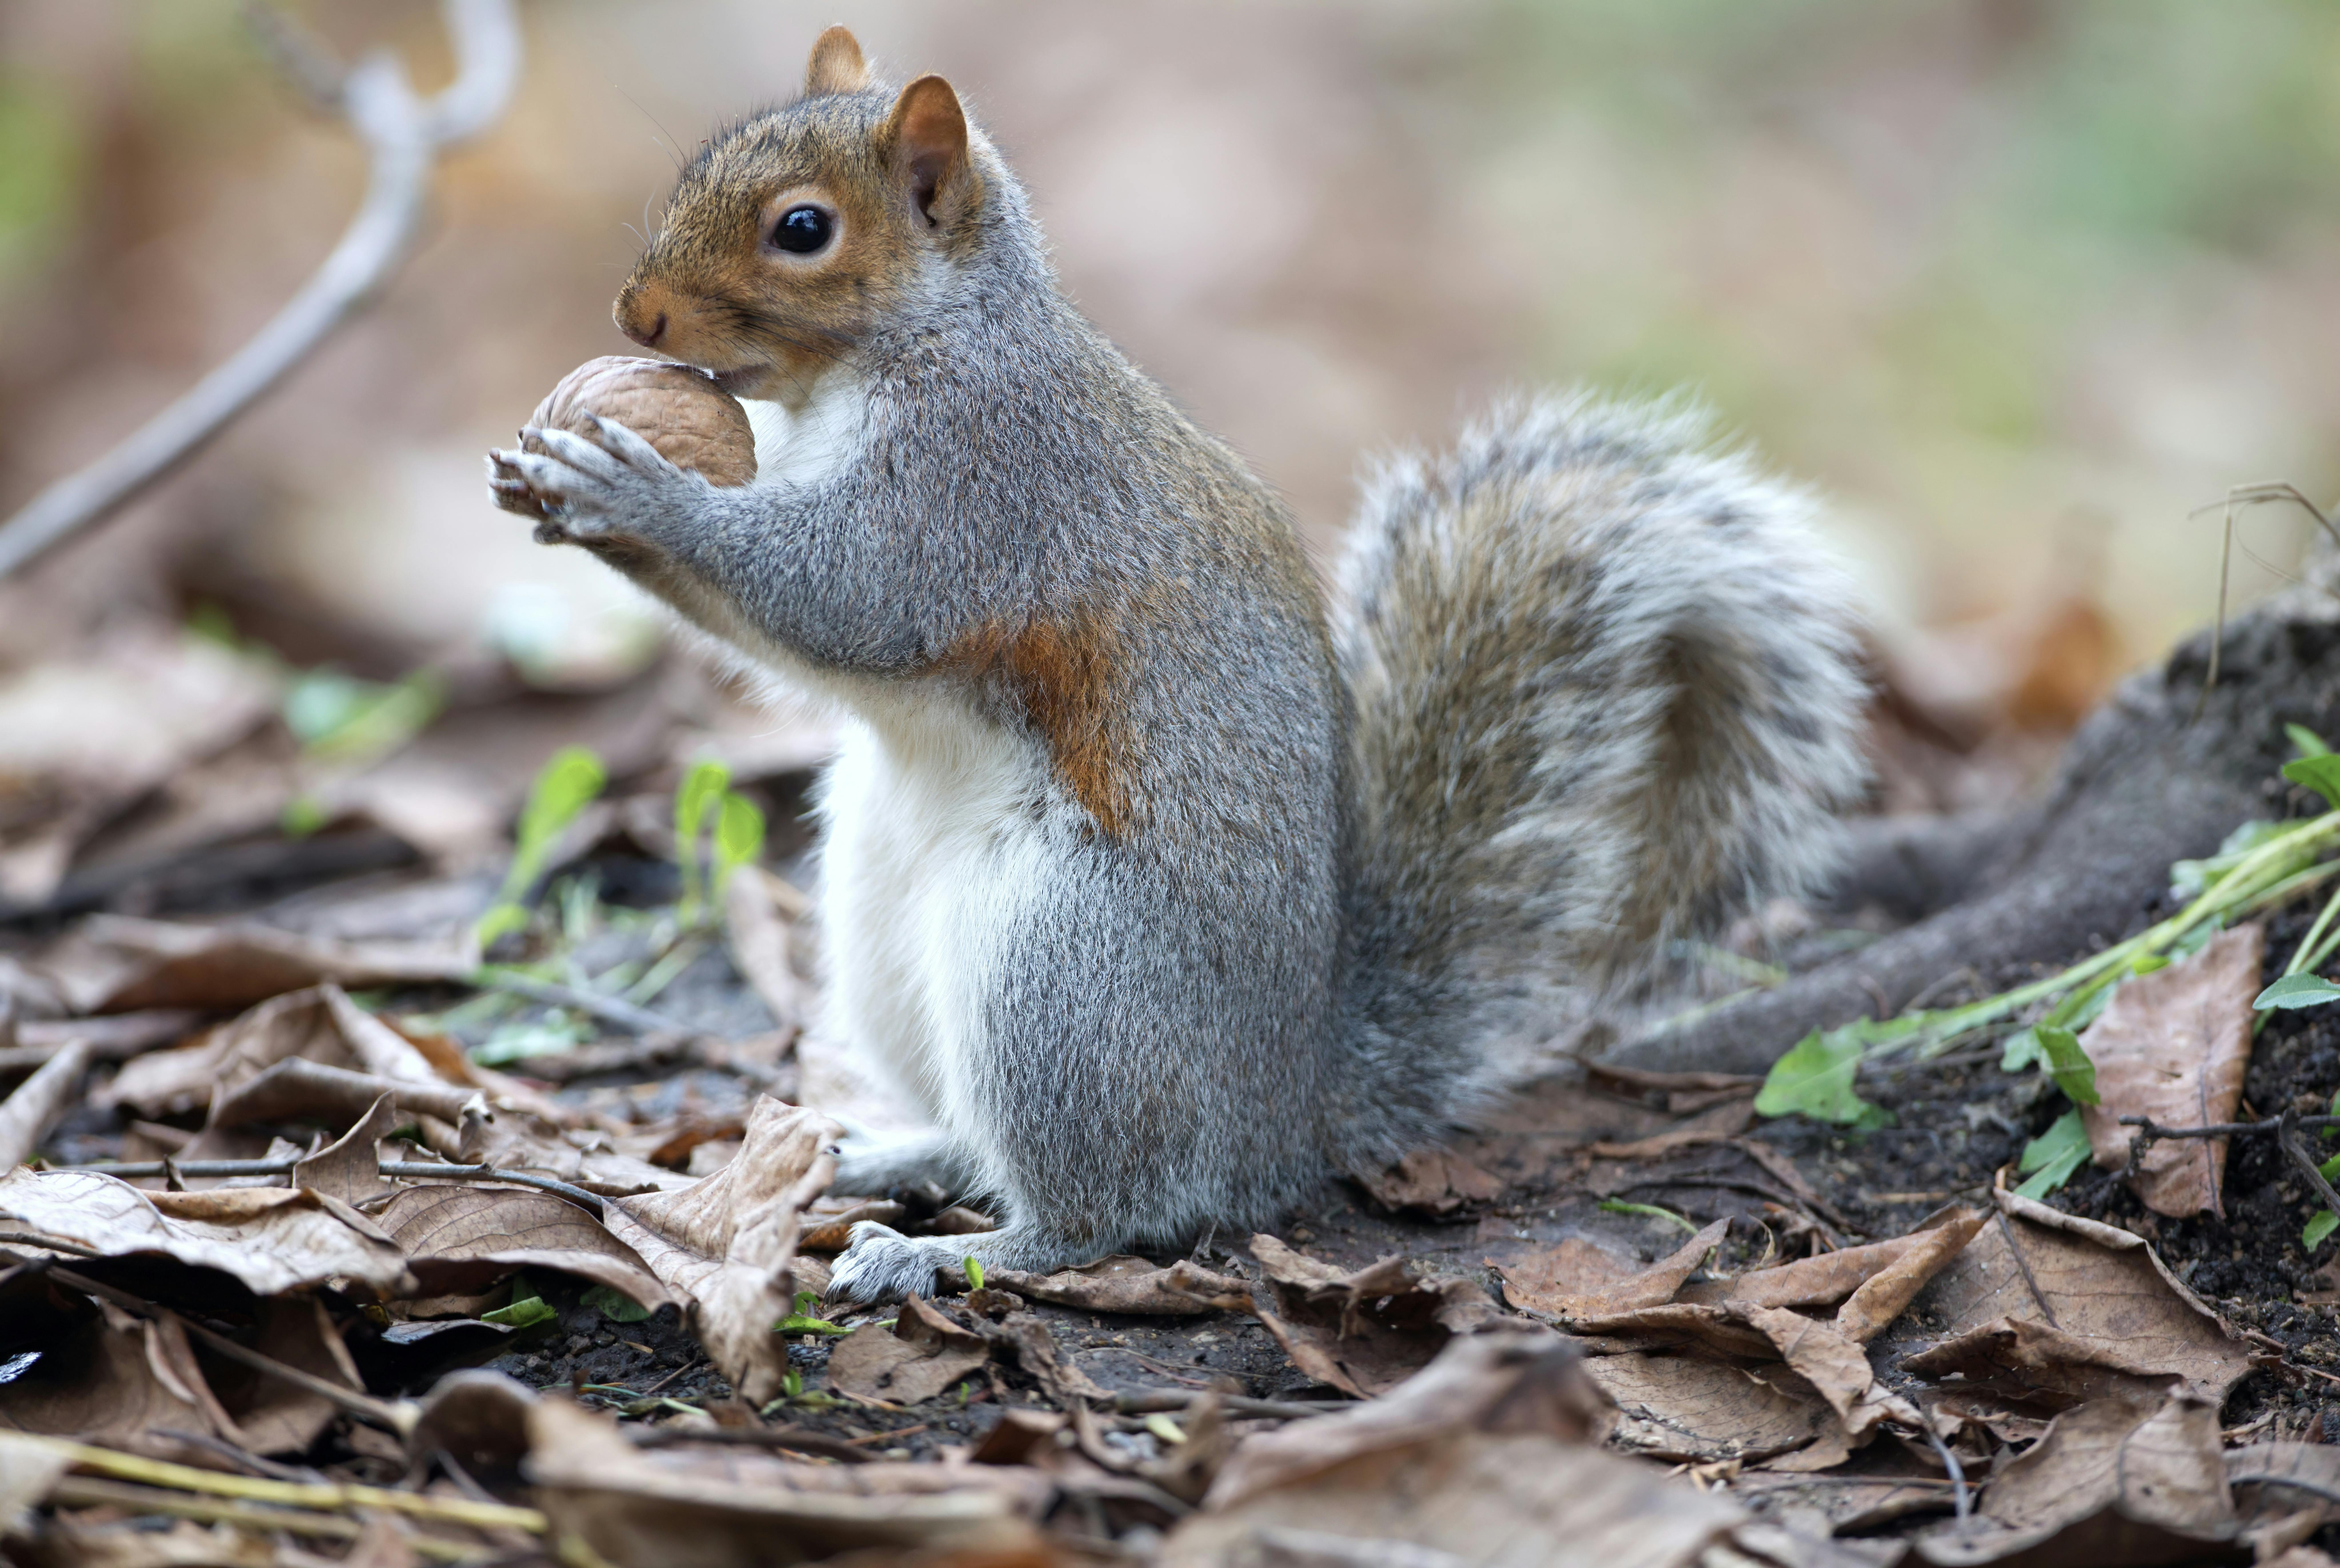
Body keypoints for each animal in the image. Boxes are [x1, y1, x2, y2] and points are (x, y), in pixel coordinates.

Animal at [489, 27, 1871, 1302]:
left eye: (801, 229)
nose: (636, 319)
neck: (910, 350)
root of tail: (1282, 1118)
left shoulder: (980, 483)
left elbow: (847, 599)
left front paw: (633, 495)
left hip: (1063, 976)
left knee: (1106, 1208)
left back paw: (952, 1251)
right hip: (875, 925)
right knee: (979, 1128)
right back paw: (894, 1153)